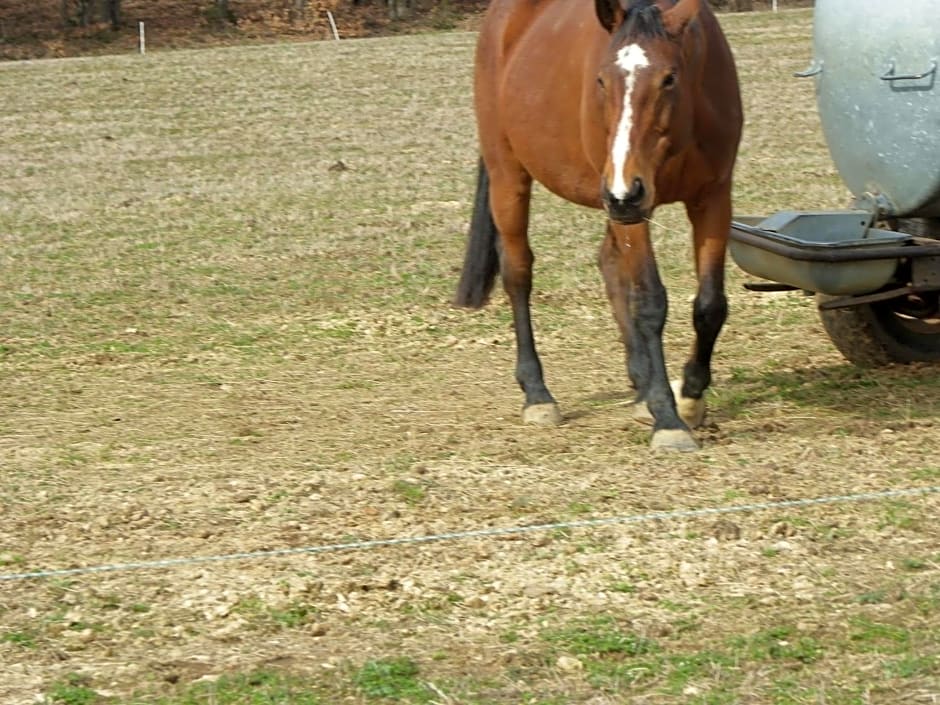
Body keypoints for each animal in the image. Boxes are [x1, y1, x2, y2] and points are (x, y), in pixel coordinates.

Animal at [454, 0, 740, 452]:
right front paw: (669, 418)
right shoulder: (630, 207)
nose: (625, 191)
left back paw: (641, 388)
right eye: (602, 80)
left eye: (669, 78)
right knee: (518, 274)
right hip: (512, 178)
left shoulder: (712, 199)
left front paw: (690, 397)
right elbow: (649, 302)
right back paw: (538, 394)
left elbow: (710, 305)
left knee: (609, 264)